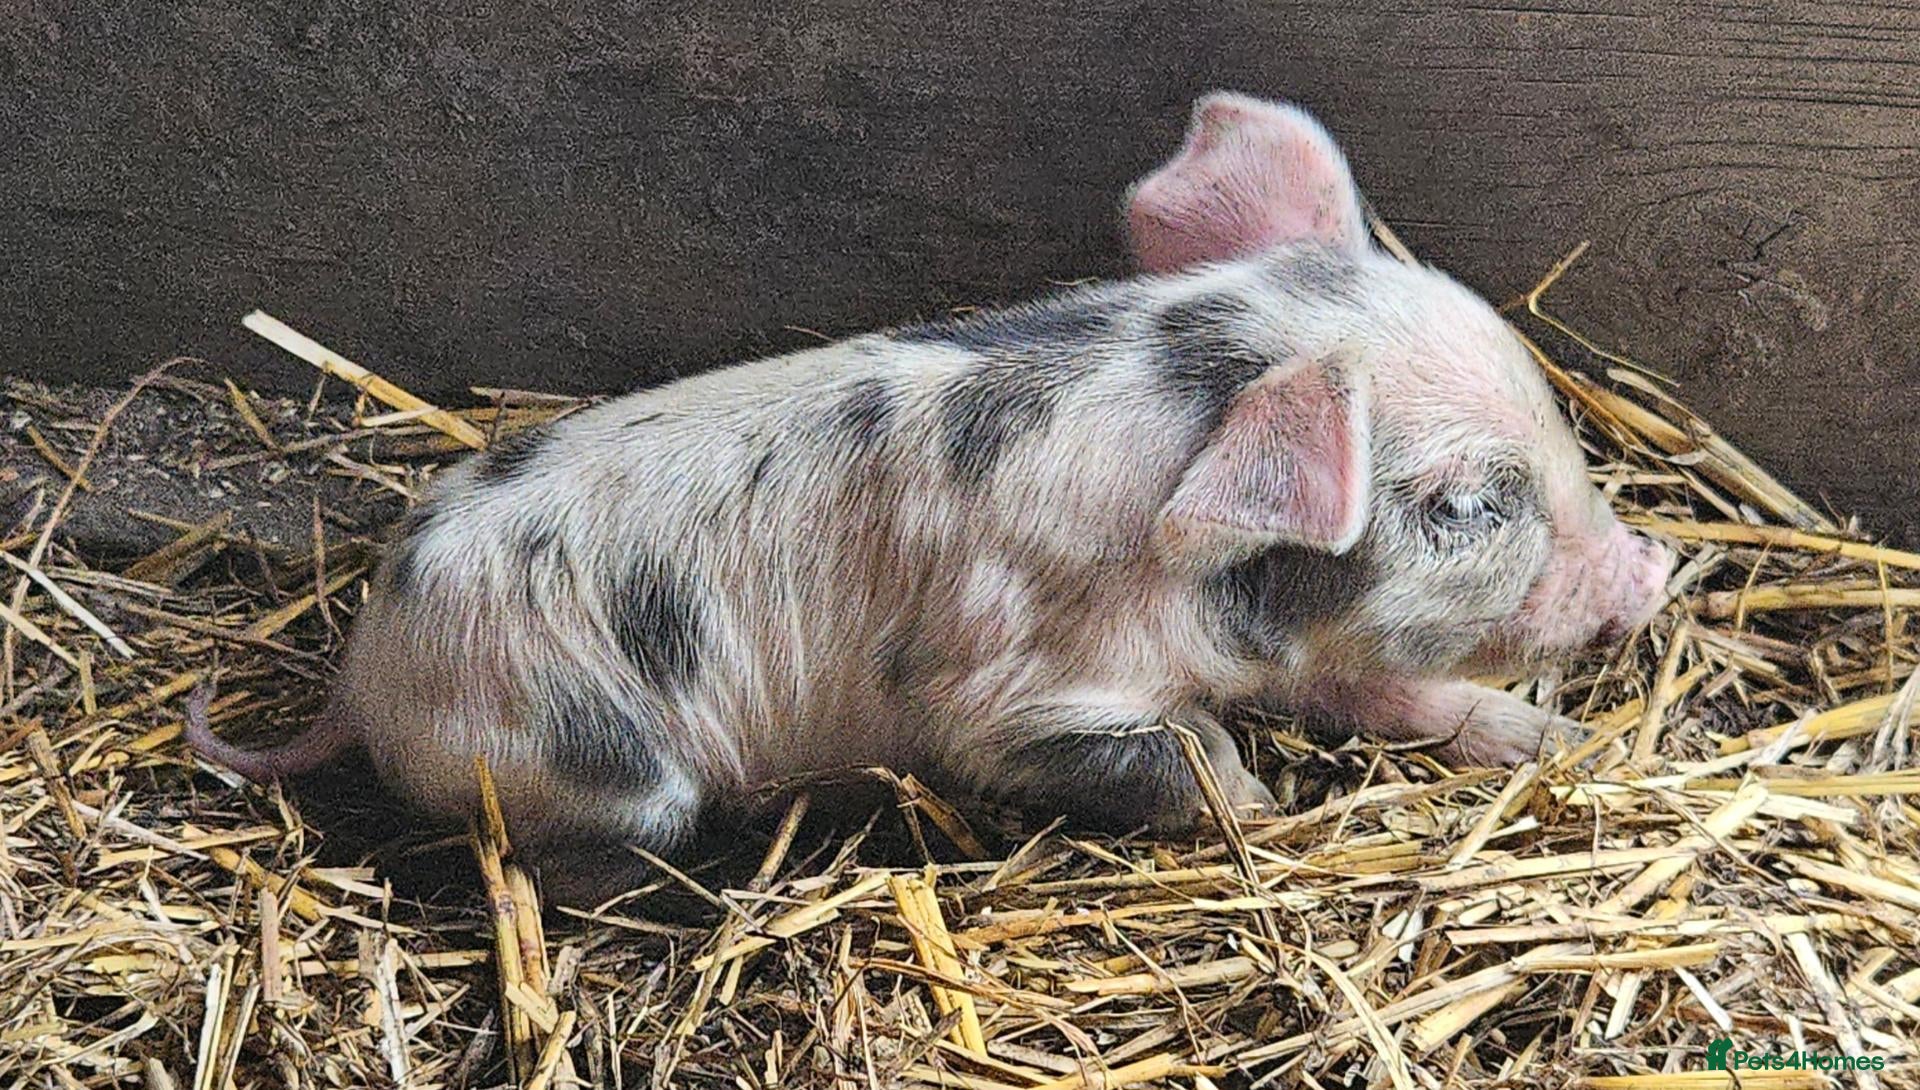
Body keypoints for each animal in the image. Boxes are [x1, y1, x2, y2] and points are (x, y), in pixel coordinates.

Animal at [187, 92, 1672, 900]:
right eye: (1464, 505)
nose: (1653, 570)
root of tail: (364, 674)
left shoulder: (1298, 646)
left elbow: (1387, 687)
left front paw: (1546, 739)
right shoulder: (1012, 700)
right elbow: (1188, 755)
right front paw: (1266, 810)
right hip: (592, 757)